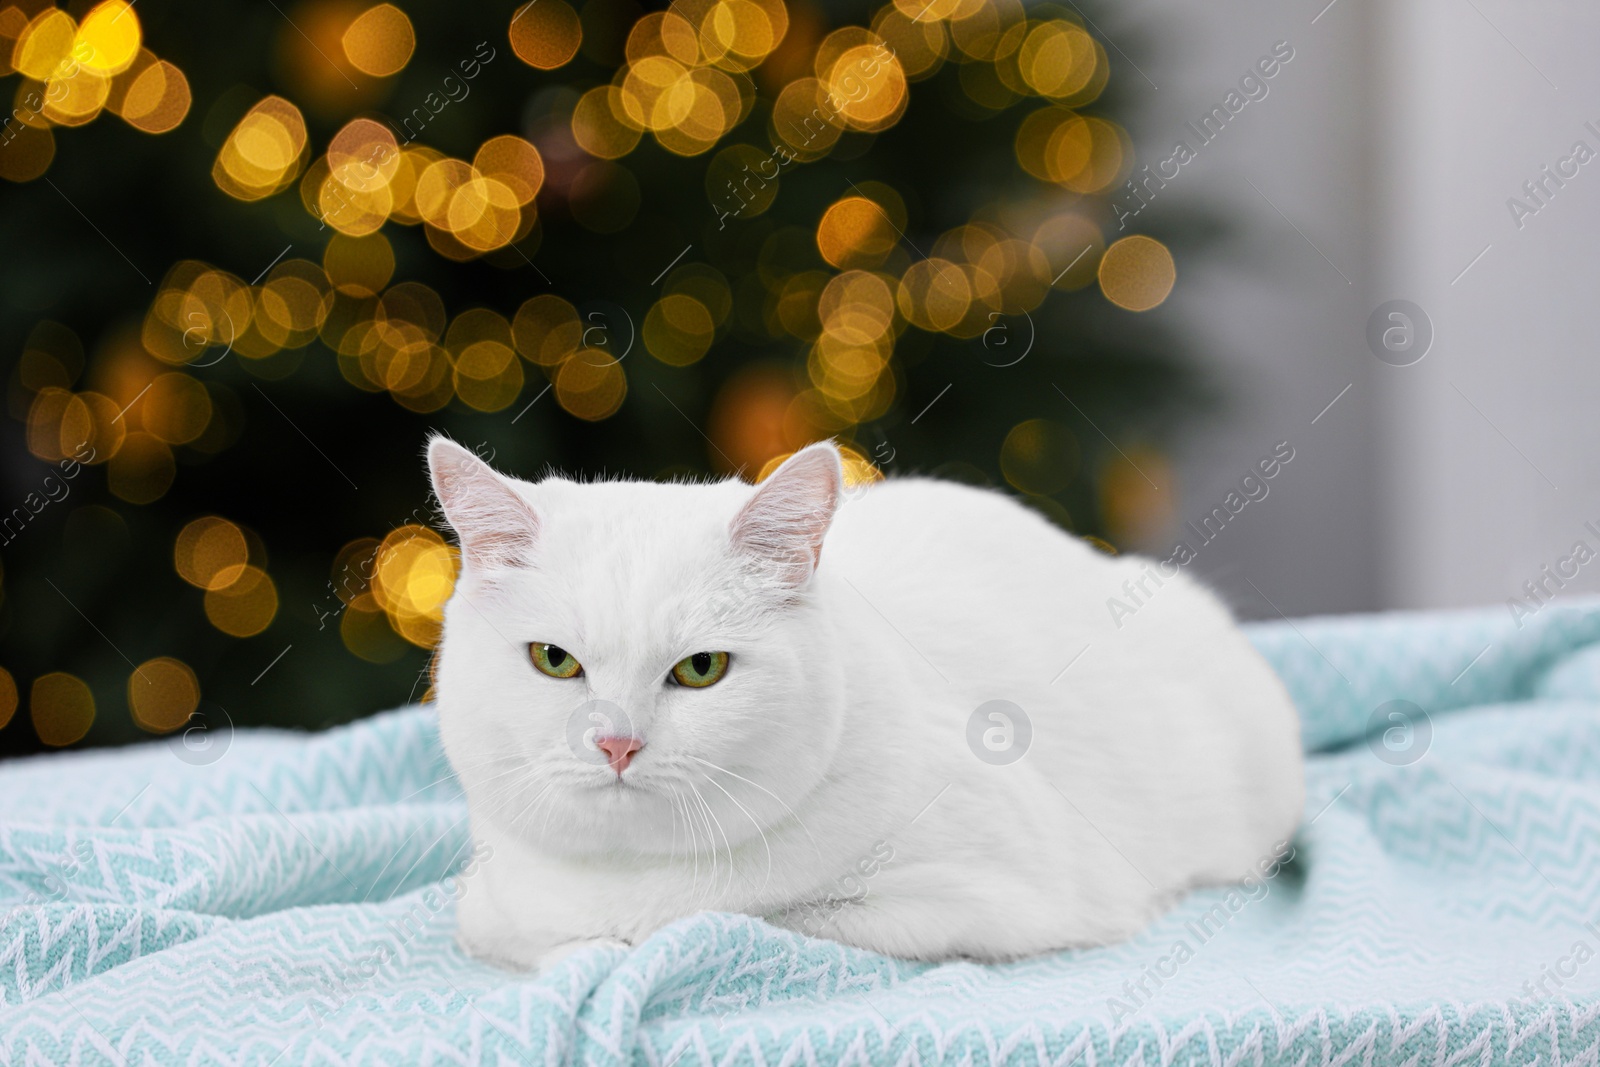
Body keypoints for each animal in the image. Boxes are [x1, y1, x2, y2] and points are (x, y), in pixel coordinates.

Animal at [432, 435, 1305, 966]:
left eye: (702, 668)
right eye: (555, 660)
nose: (616, 742)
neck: (631, 875)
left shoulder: (993, 899)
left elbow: (760, 916)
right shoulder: (488, 909)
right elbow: (543, 940)